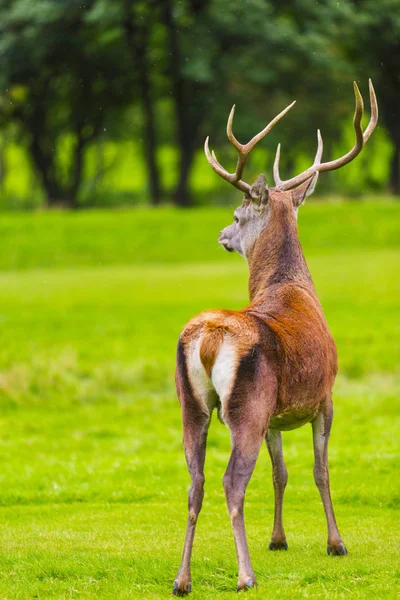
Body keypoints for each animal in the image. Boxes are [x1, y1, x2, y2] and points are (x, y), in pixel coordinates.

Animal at [173, 81, 378, 596]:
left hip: (194, 403)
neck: (290, 287)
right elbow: (320, 472)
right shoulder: (325, 395)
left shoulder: (276, 415)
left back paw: (182, 579)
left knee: (195, 481)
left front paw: (279, 538)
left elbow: (281, 473)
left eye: (235, 213)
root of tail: (208, 338)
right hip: (245, 404)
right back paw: (245, 576)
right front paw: (336, 543)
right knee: (230, 482)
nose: (221, 234)